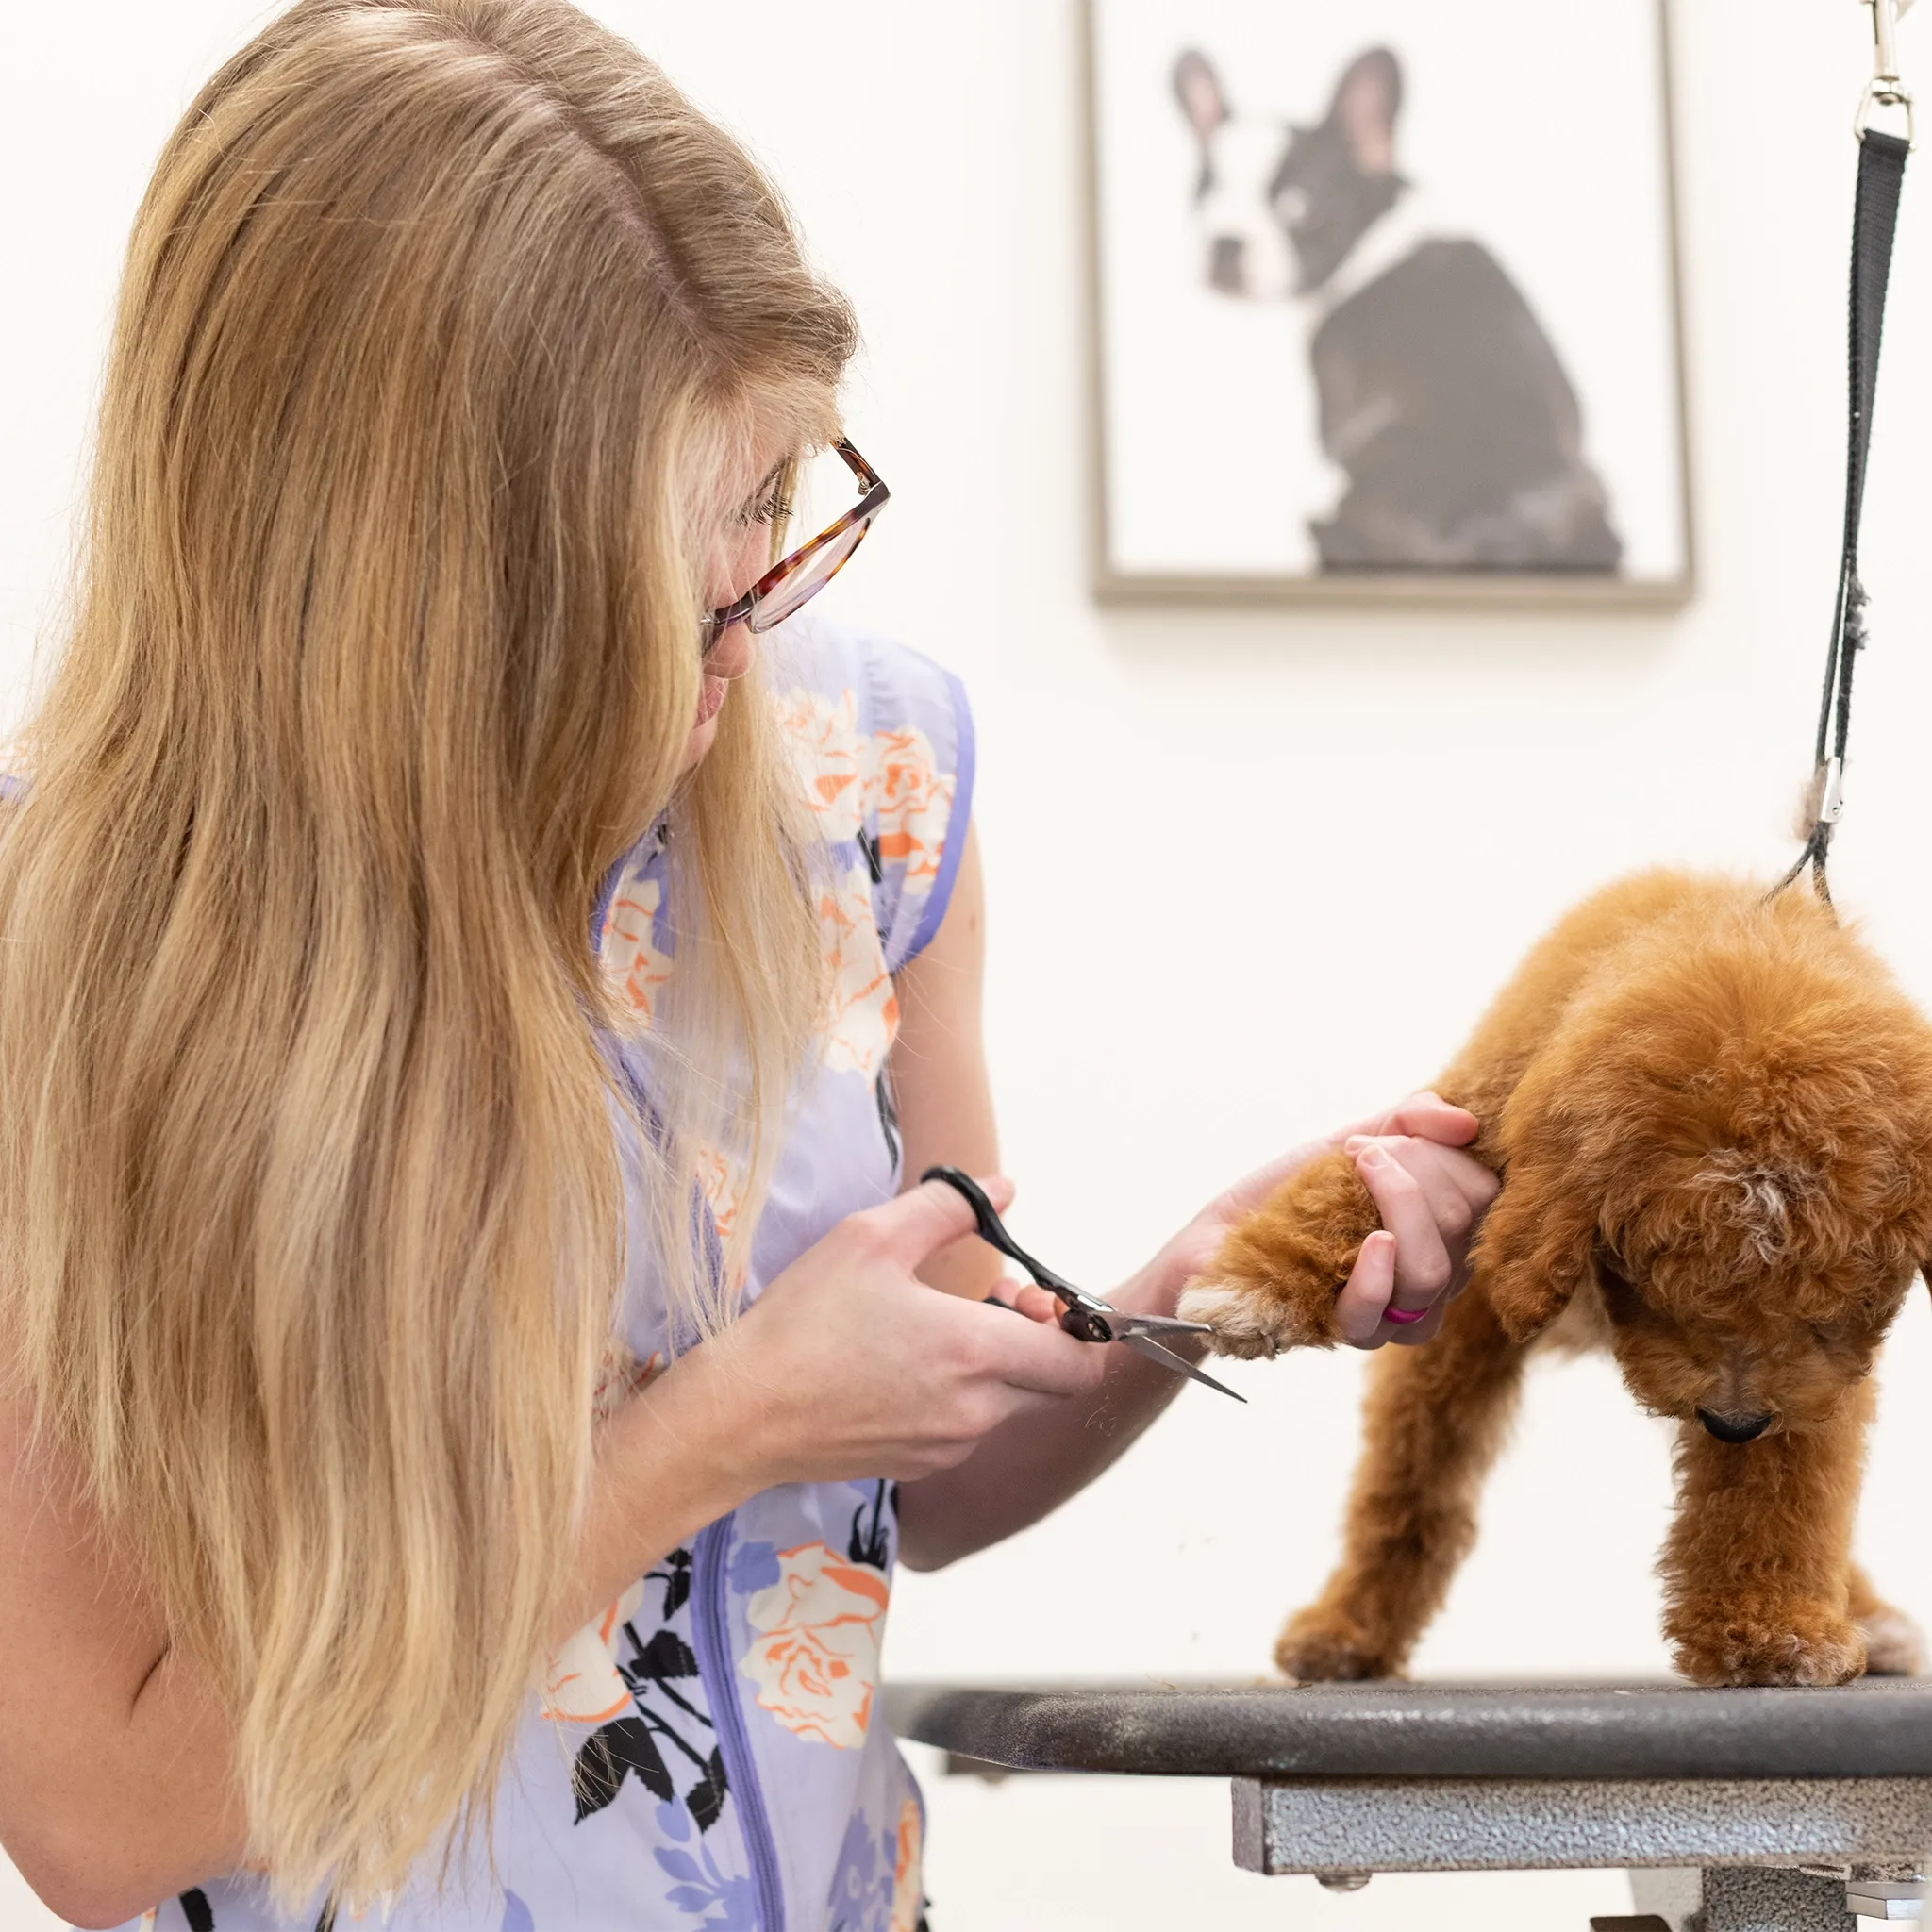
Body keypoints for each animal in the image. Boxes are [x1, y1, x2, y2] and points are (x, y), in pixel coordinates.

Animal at [1182, 869, 1932, 1684]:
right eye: (1660, 1291)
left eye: (1832, 1312)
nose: (1734, 1424)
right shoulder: (1470, 1118)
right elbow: (1349, 1188)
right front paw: (1258, 1286)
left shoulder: (1807, 1386)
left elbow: (1778, 1492)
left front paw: (1768, 1633)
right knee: (1409, 1489)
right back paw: (1348, 1629)